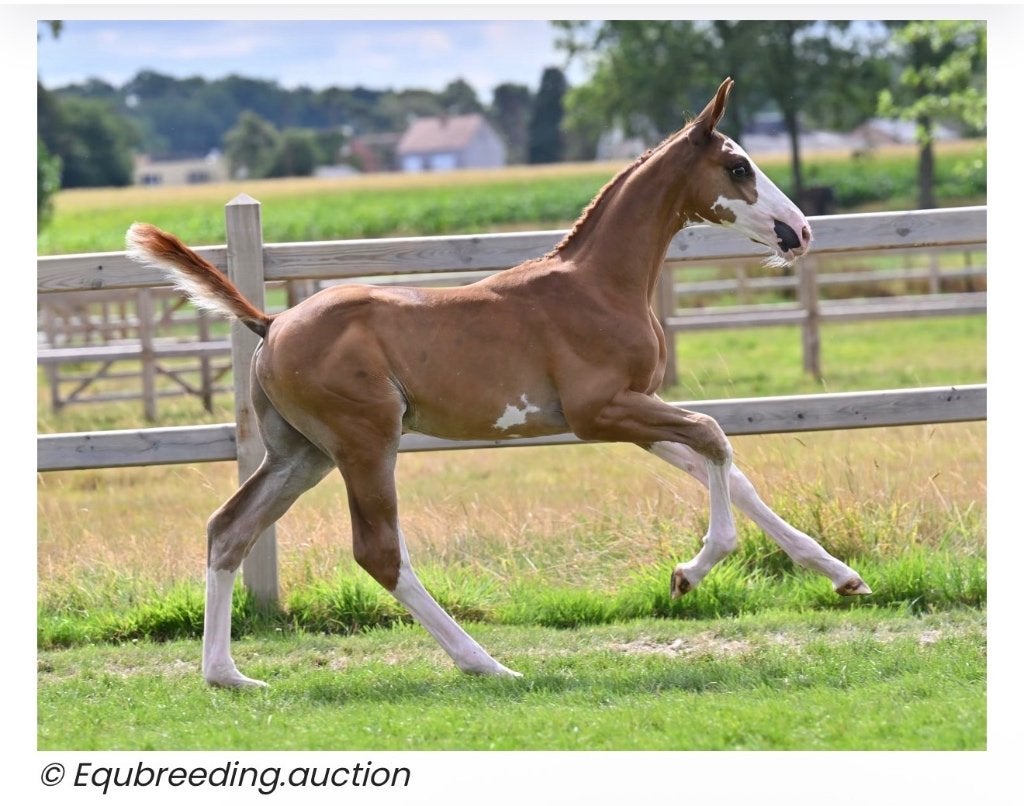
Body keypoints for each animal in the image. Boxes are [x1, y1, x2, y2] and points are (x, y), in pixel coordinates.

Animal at [126, 78, 870, 688]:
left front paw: (843, 577)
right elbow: (716, 438)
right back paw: (486, 663)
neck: (599, 285)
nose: (799, 230)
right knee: (378, 553)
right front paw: (689, 573)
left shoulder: (630, 412)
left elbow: (726, 468)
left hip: (300, 454)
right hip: (364, 443)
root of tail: (271, 320)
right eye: (738, 166)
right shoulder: (602, 412)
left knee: (229, 529)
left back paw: (227, 675)